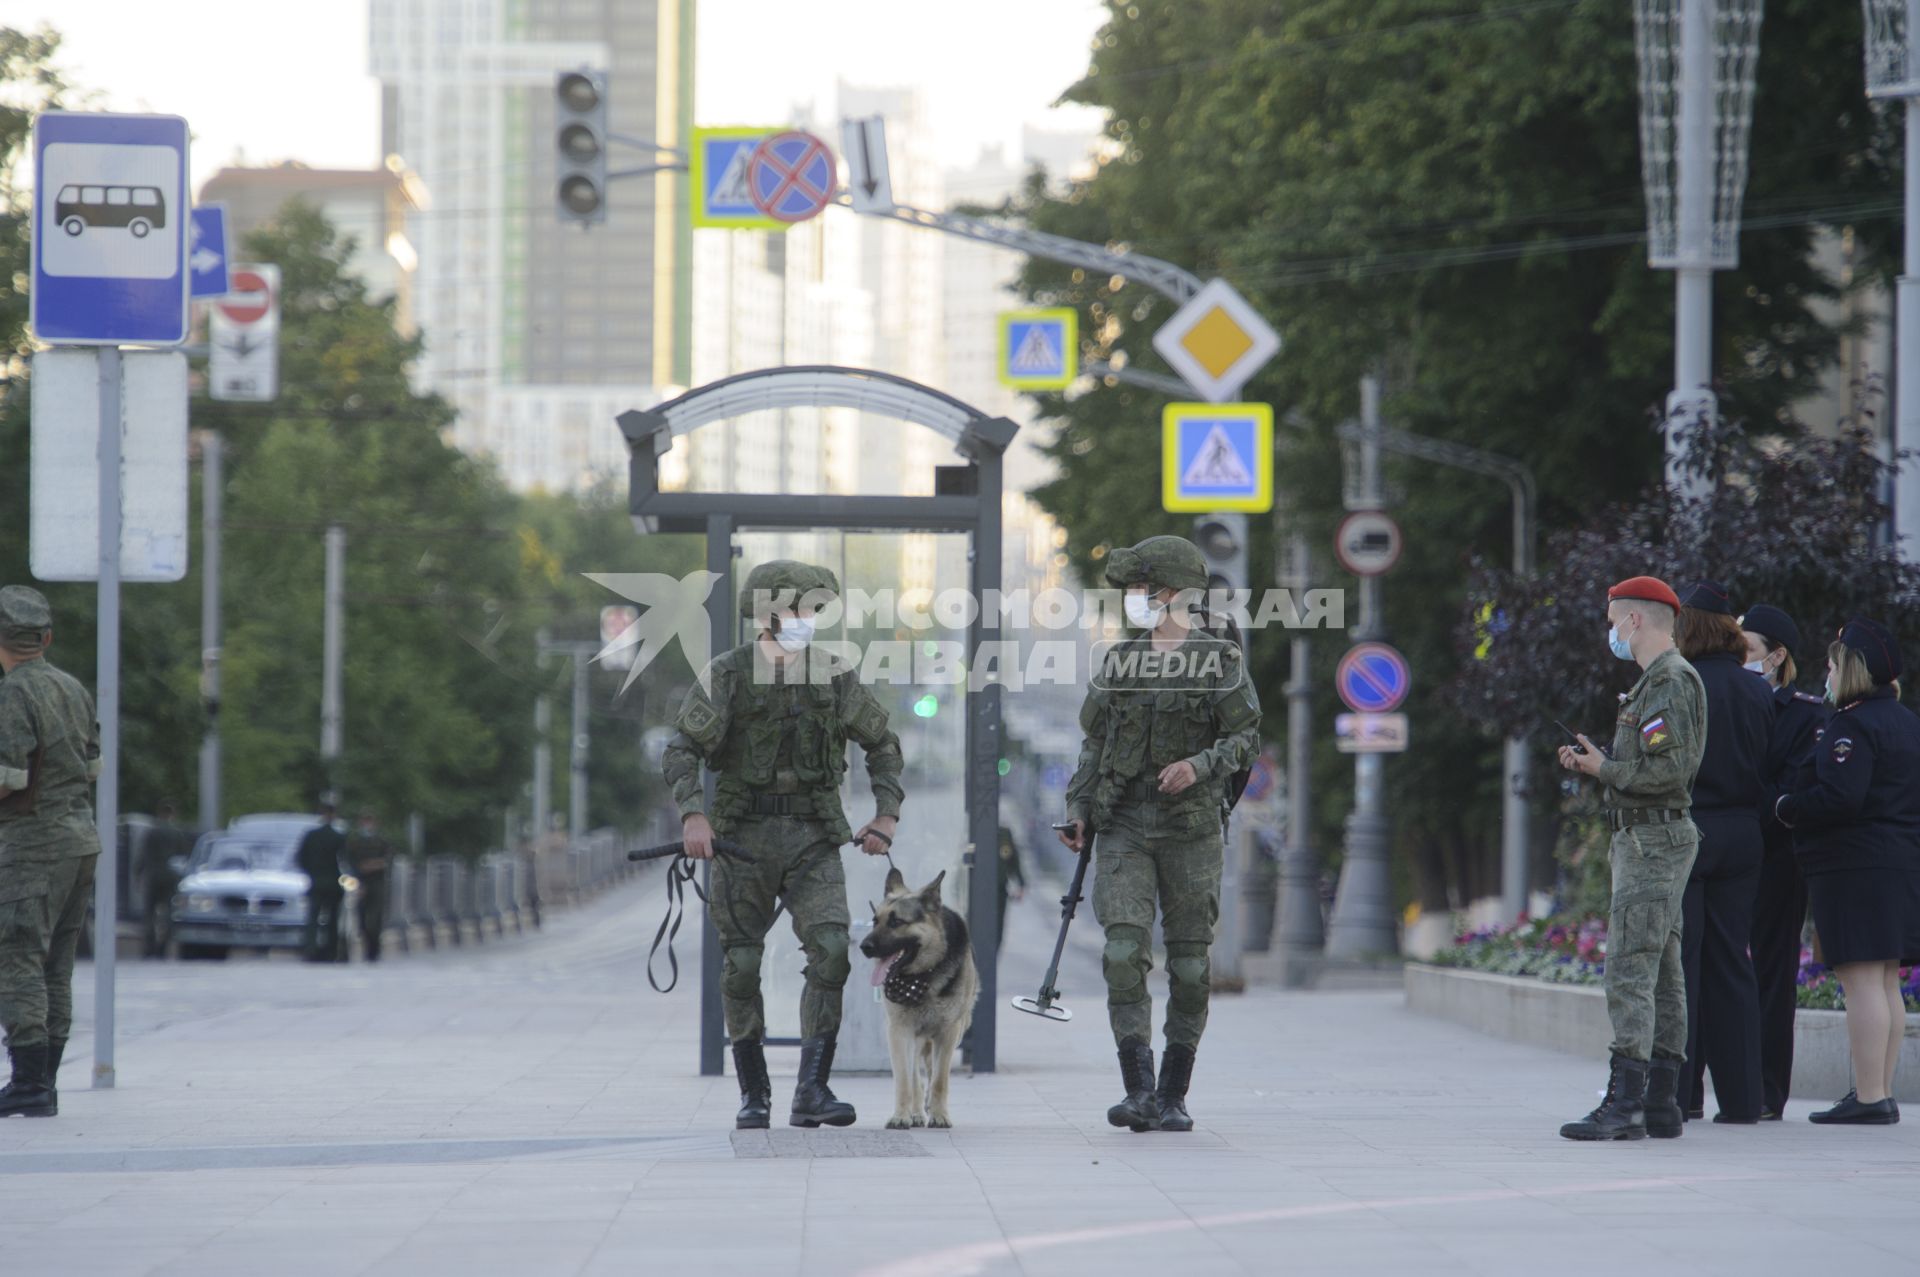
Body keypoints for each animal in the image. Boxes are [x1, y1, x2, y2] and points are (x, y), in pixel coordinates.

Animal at [860, 867, 975, 1129]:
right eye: (875, 920)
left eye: (896, 922)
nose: (864, 947)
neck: (923, 977)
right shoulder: (900, 1031)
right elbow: (905, 1080)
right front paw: (901, 1116)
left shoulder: (948, 1033)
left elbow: (940, 1080)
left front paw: (940, 1114)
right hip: (912, 1037)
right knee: (915, 1077)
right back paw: (916, 1113)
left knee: (932, 1073)